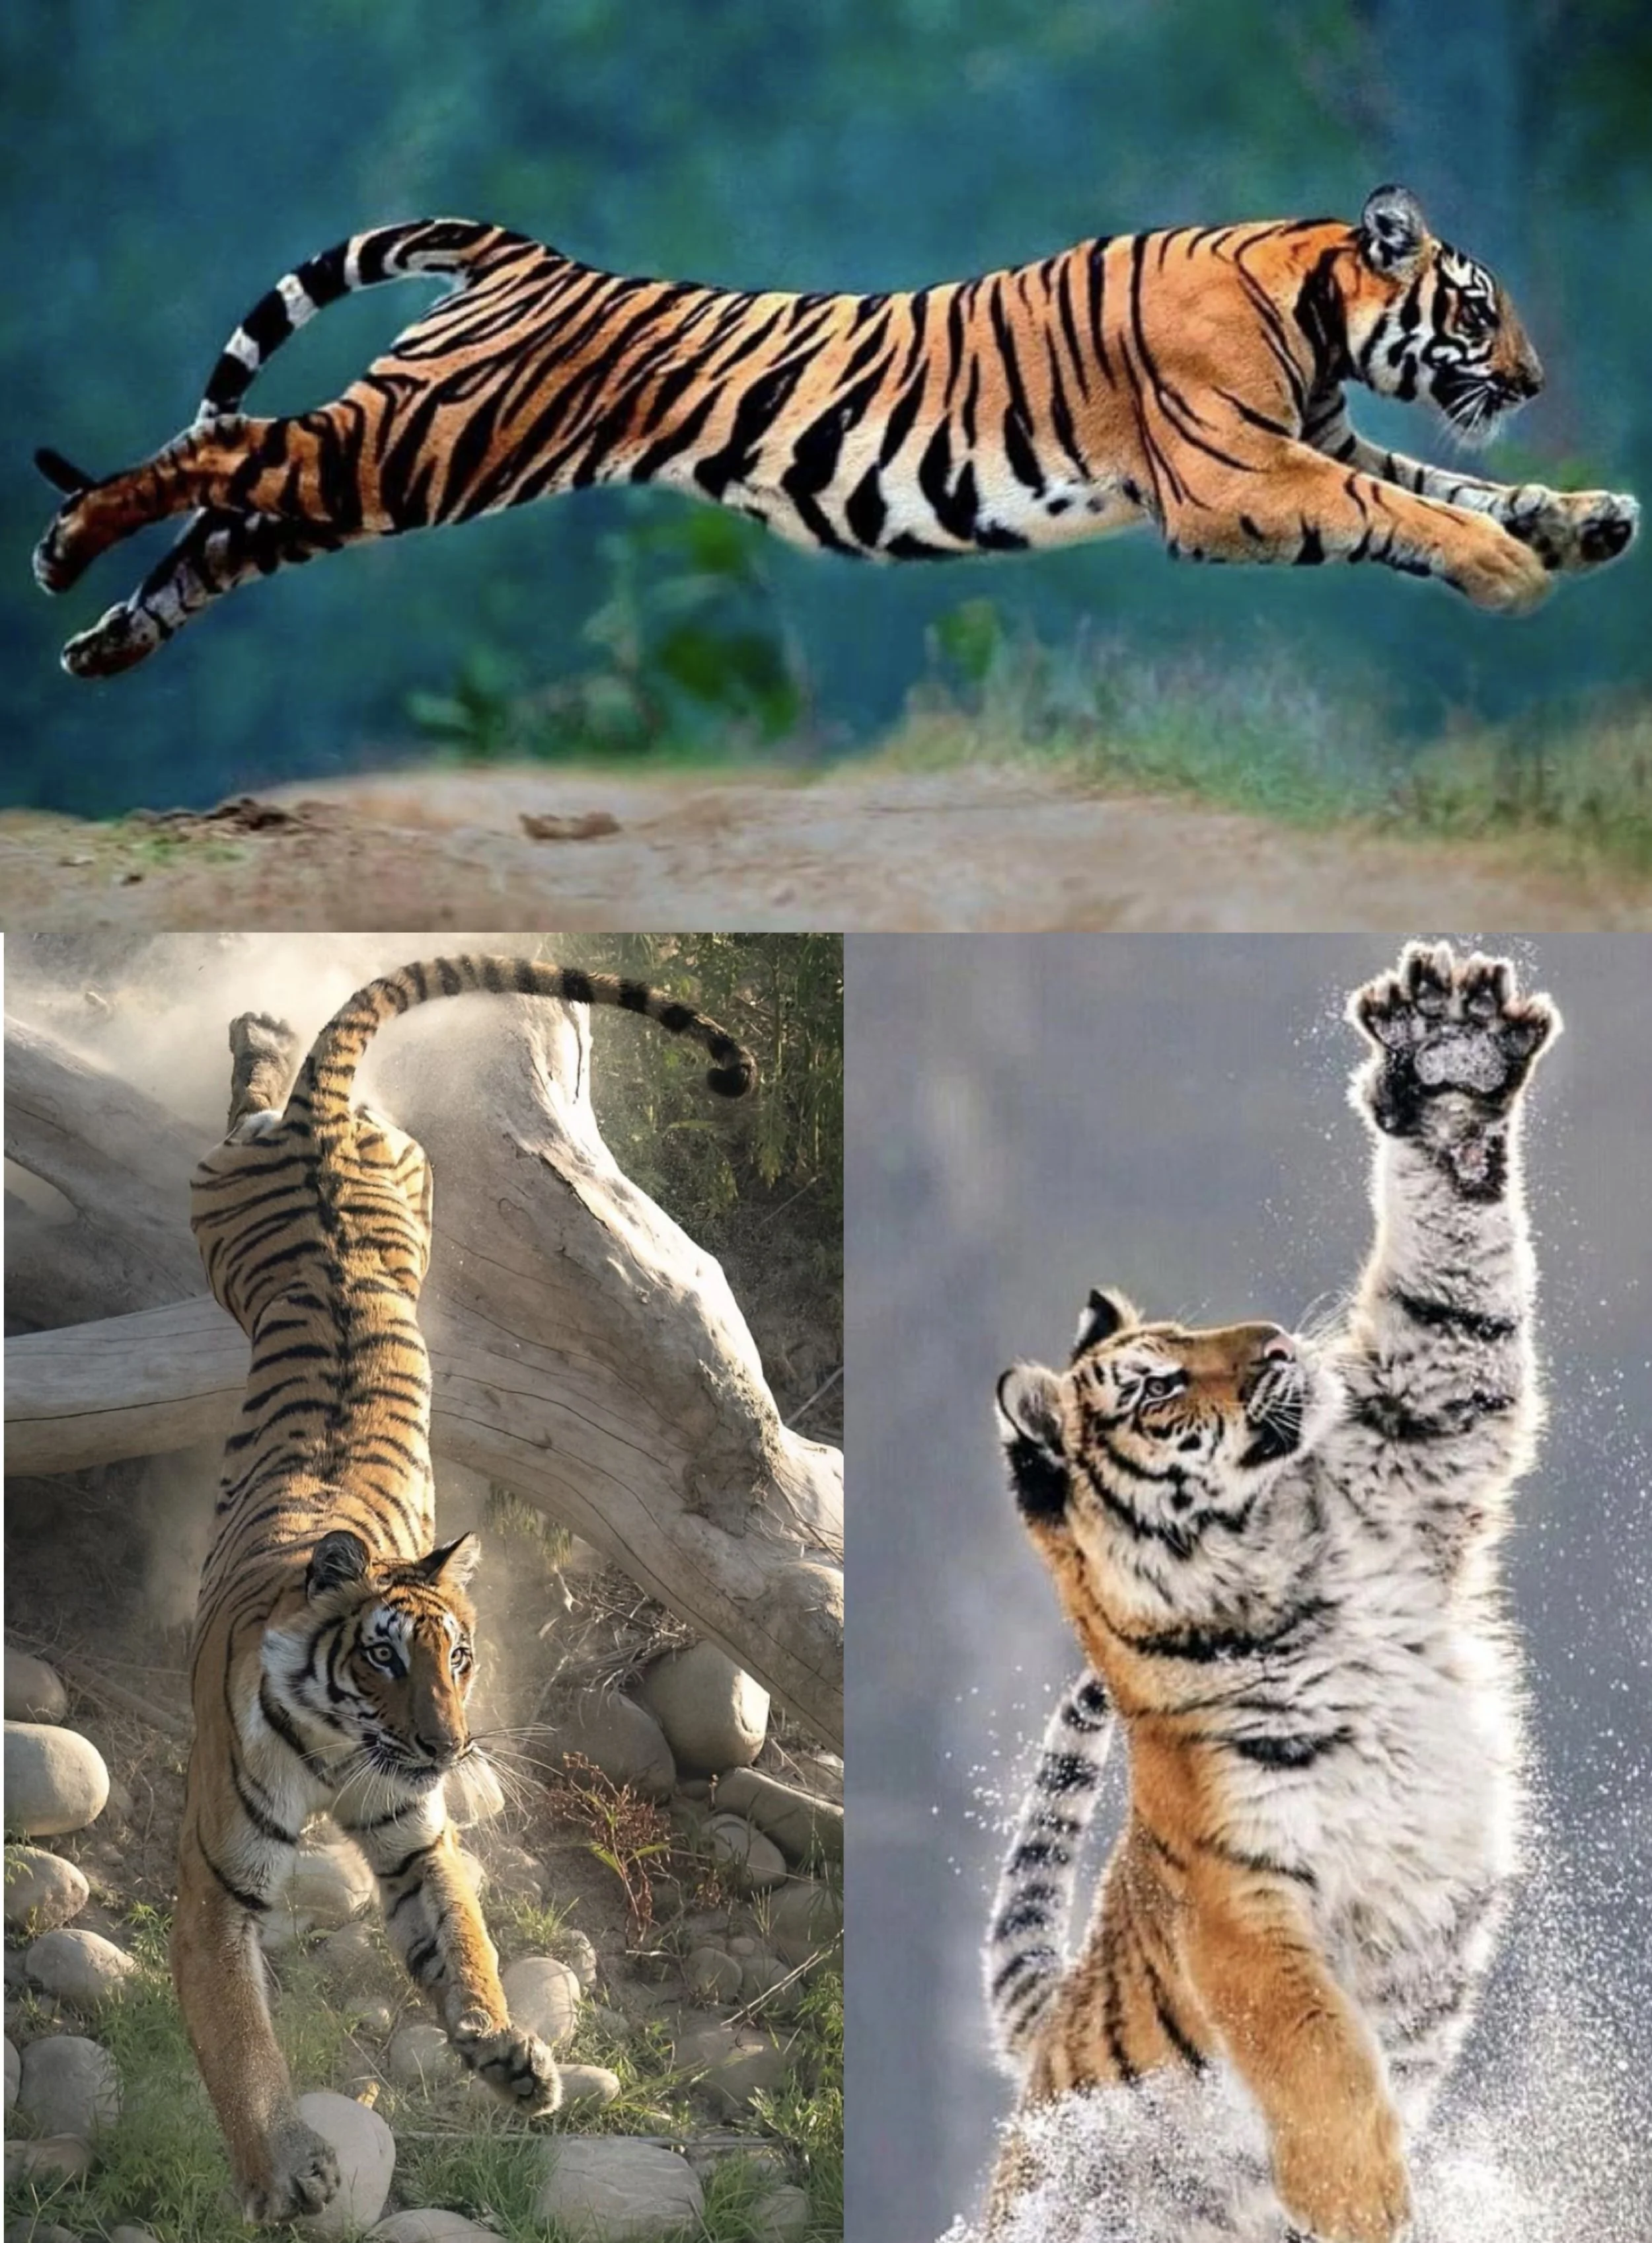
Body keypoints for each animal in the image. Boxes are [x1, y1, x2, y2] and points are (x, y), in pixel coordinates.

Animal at [32, 184, 1637, 679]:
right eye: (1478, 307)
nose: (1538, 376)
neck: (1312, 309)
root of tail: (523, 252)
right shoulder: (1239, 478)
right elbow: (1411, 510)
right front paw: (1513, 575)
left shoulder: (1310, 443)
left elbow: (1439, 484)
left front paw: (1585, 517)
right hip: (419, 443)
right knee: (212, 453)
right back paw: (61, 546)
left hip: (394, 473)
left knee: (231, 524)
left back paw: (103, 638)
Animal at [175, 953, 754, 2224]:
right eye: (382, 1656)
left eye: (462, 1658)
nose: (447, 1744)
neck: (337, 1744)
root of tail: (322, 1121)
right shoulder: (219, 1879)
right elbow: (238, 2038)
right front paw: (285, 2166)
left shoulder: (411, 1832)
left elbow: (462, 1935)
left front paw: (508, 2053)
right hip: (225, 1211)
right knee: (247, 1099)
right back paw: (259, 1031)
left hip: (402, 1187)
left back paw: (271, 1026)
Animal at [984, 941, 1558, 2243]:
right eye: (1157, 1384)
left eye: (1196, 1332)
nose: (1281, 1348)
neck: (1286, 1564)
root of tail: (1045, 2039)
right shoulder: (1244, 1901)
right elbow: (1314, 2048)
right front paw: (1368, 2196)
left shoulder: (1426, 1431)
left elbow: (1453, 1300)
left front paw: (1449, 1051)